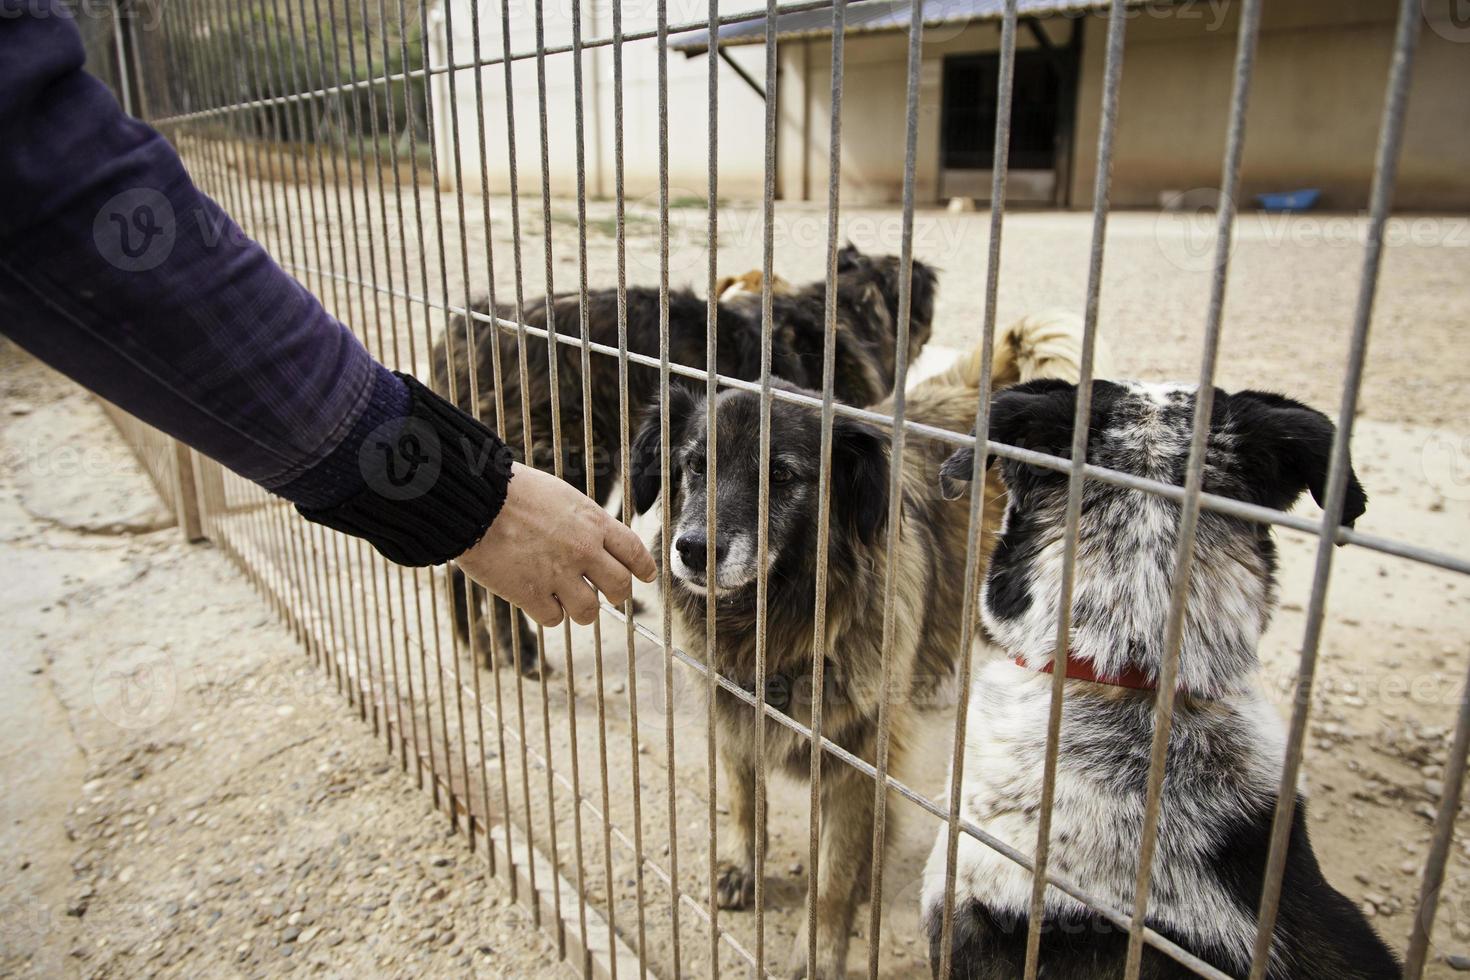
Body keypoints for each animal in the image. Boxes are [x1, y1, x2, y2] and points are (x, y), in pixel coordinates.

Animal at [626, 310, 1099, 975]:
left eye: (781, 474)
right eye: (695, 464)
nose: (692, 550)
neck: (775, 626)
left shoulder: (857, 760)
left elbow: (831, 879)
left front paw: (819, 954)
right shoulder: (733, 717)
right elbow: (746, 802)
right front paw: (745, 866)